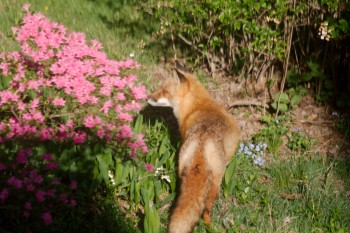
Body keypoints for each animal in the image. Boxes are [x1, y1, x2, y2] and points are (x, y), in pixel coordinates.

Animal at [148, 62, 241, 233]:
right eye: (160, 88)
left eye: (164, 91)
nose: (147, 97)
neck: (196, 106)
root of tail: (202, 140)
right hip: (216, 184)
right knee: (206, 210)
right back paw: (210, 226)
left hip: (182, 173)